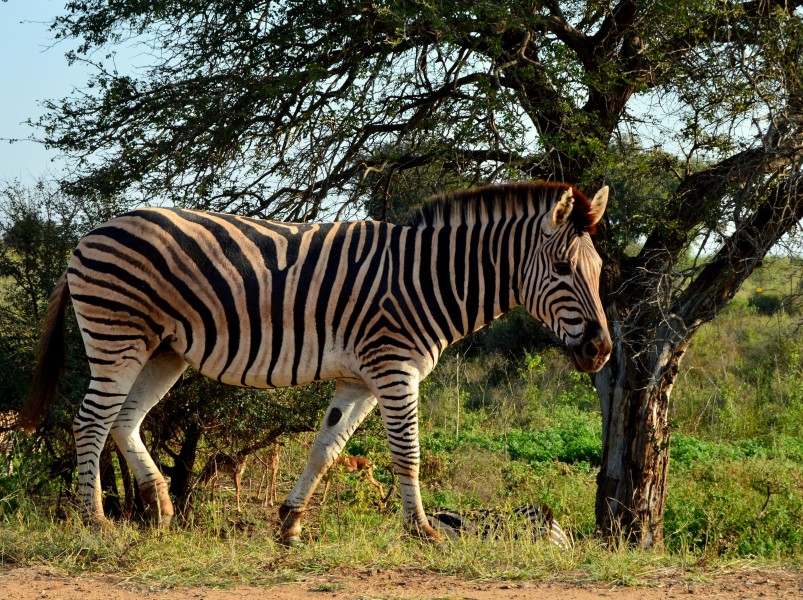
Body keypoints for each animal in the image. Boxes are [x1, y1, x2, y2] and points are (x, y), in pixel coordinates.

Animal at [17, 180, 608, 540]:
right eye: (560, 269)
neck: (427, 279)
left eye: (600, 269)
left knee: (124, 420)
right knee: (90, 421)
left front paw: (290, 523)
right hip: (117, 336)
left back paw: (159, 508)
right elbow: (408, 454)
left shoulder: (360, 378)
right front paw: (422, 531)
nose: (601, 350)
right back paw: (94, 520)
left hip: (163, 349)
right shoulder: (394, 367)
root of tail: (86, 237)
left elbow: (327, 448)